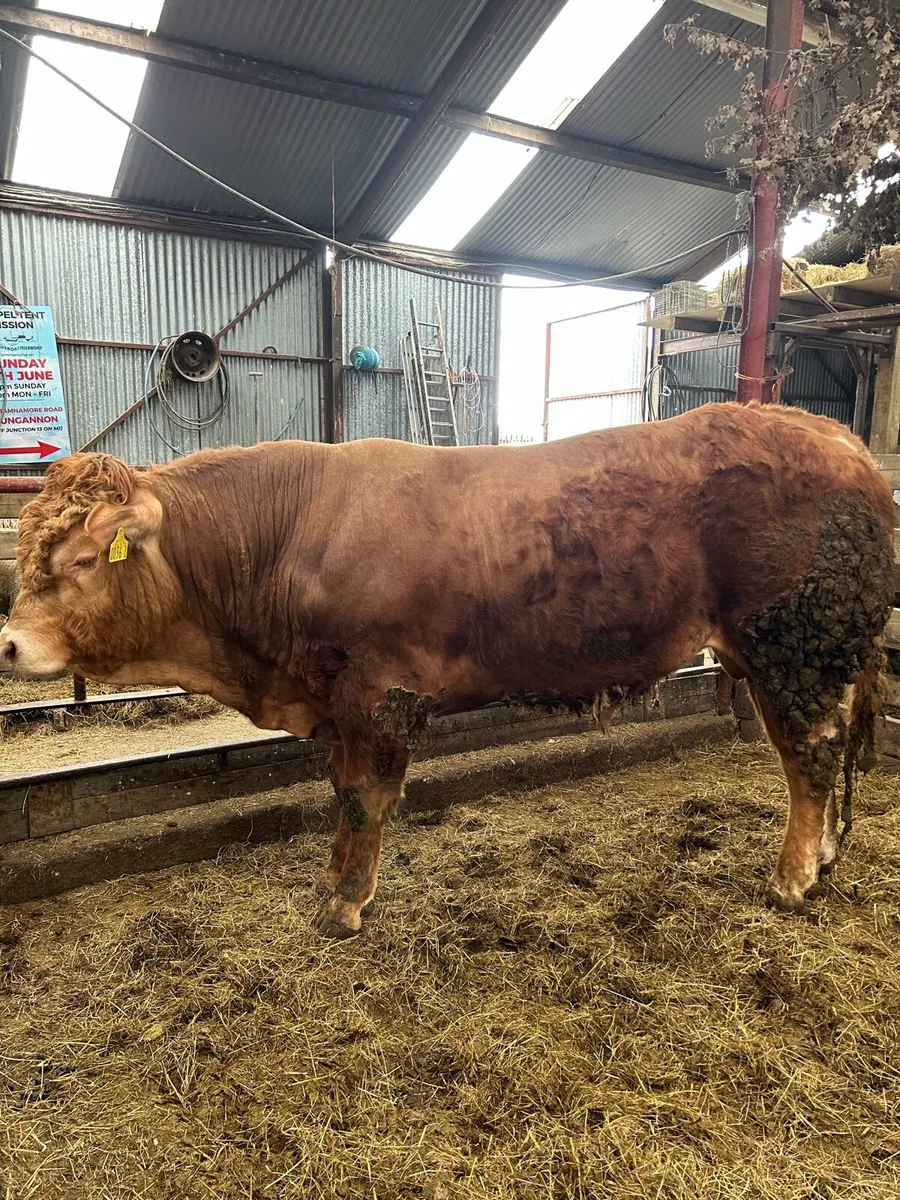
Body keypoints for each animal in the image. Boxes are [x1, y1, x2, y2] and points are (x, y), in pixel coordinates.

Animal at [0, 402, 894, 937]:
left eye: (83, 556)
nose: (9, 644)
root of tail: (834, 435)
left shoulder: (378, 693)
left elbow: (363, 799)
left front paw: (345, 904)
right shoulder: (339, 700)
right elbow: (342, 794)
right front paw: (334, 886)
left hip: (790, 644)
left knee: (809, 754)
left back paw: (791, 879)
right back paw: (822, 859)